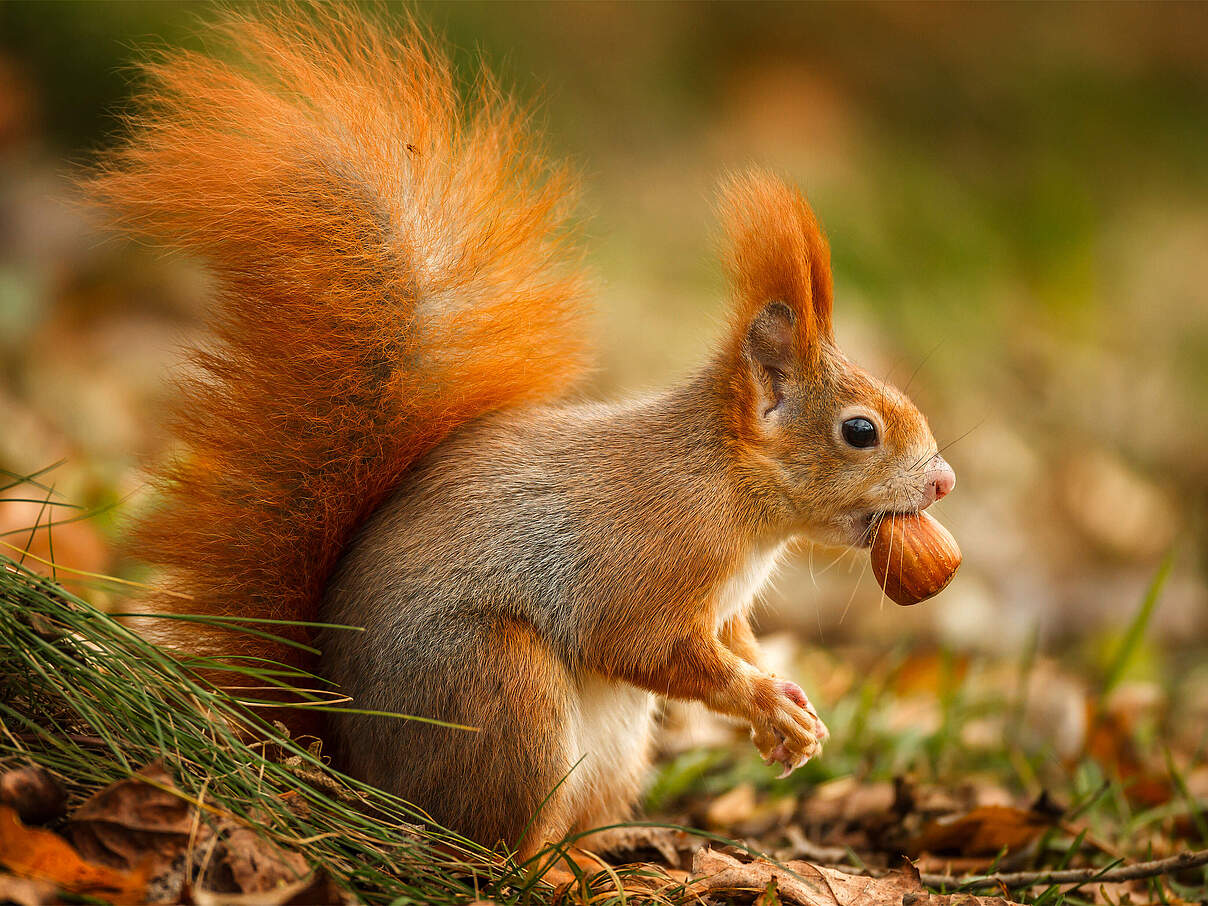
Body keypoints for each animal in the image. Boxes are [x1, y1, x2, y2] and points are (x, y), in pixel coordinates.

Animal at [91, 7, 955, 858]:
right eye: (859, 431)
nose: (943, 480)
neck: (726, 487)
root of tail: (353, 764)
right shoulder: (646, 557)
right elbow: (642, 645)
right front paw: (763, 700)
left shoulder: (721, 603)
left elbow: (733, 637)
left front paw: (793, 717)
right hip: (500, 694)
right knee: (496, 848)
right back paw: (555, 873)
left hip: (609, 744)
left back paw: (607, 858)